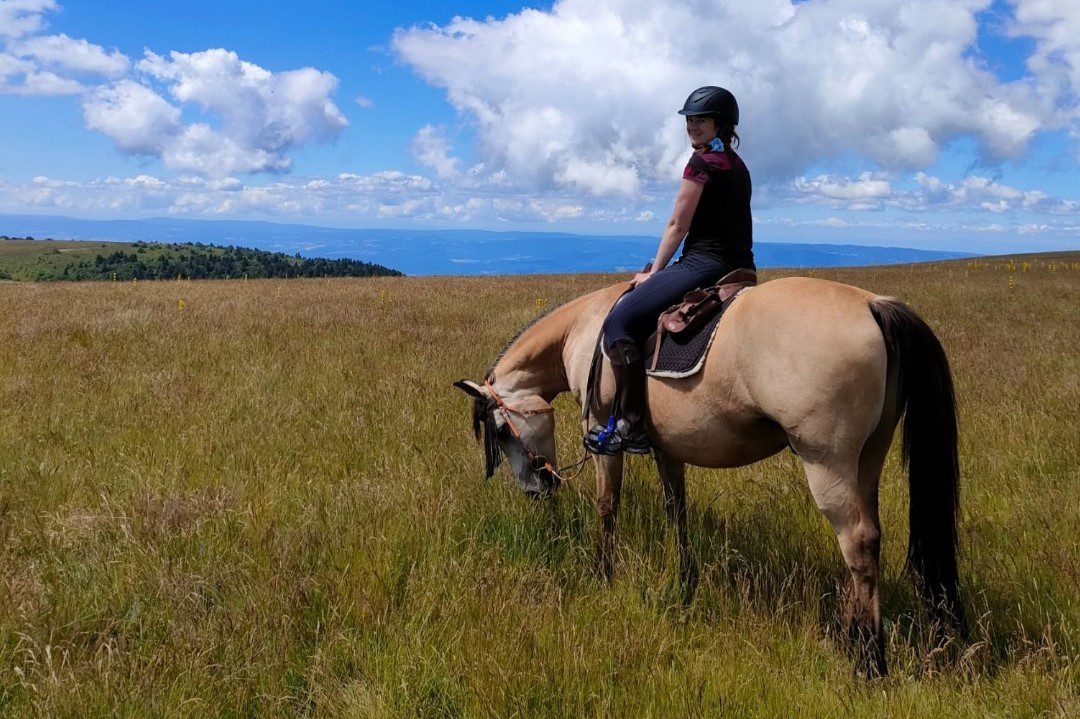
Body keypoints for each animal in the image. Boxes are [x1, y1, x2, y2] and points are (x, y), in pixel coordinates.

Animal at [451, 272, 967, 673]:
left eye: (502, 431)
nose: (536, 486)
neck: (582, 332)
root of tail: (873, 305)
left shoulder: (601, 436)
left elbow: (607, 505)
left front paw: (602, 575)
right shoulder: (667, 448)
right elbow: (676, 510)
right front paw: (685, 585)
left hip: (827, 462)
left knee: (857, 540)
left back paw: (868, 660)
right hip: (868, 460)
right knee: (867, 538)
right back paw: (849, 635)